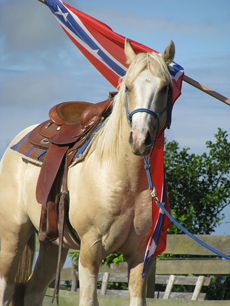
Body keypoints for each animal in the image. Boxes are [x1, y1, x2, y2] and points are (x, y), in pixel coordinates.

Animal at [0, 38, 174, 306]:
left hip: (52, 245)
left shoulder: (139, 256)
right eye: (128, 87)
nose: (140, 139)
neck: (124, 179)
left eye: (165, 88)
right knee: (6, 288)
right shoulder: (90, 249)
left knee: (32, 291)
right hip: (12, 236)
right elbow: (89, 299)